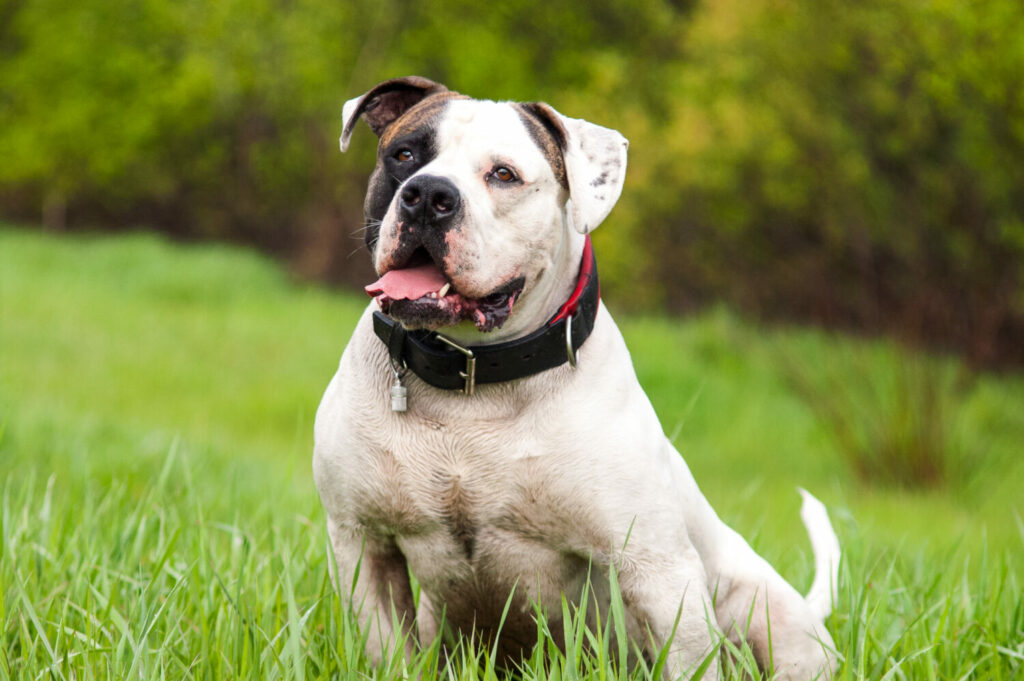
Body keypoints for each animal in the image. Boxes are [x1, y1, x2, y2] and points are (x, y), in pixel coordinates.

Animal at [313, 76, 839, 675]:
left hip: (765, 610)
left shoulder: (658, 570)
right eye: (404, 155)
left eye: (504, 174)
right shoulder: (365, 548)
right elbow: (388, 652)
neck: (473, 384)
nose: (427, 194)